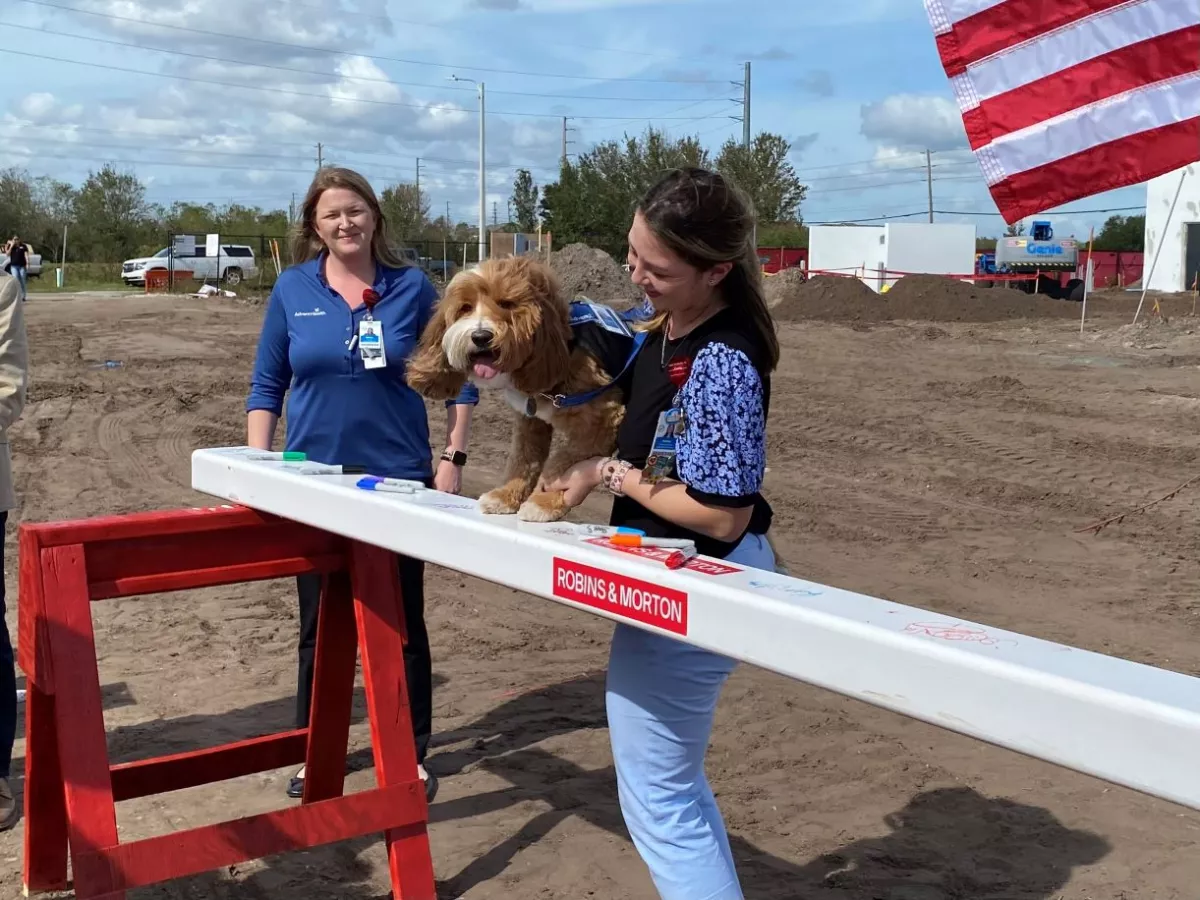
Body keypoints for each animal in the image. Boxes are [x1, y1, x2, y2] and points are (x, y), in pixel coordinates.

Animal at [405, 255, 638, 520]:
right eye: (465, 308)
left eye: (506, 304)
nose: (481, 336)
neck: (562, 350)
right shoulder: (530, 421)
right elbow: (523, 460)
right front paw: (506, 496)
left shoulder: (603, 421)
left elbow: (562, 463)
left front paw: (543, 502)